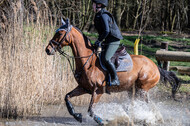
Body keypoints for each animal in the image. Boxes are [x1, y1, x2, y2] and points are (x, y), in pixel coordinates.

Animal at [45, 18, 180, 125]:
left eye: (60, 33)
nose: (48, 49)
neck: (87, 61)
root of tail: (155, 65)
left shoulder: (98, 91)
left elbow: (90, 110)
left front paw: (101, 120)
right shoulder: (83, 88)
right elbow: (67, 97)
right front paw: (77, 116)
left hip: (142, 89)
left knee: (146, 105)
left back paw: (150, 119)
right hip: (132, 90)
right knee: (138, 105)